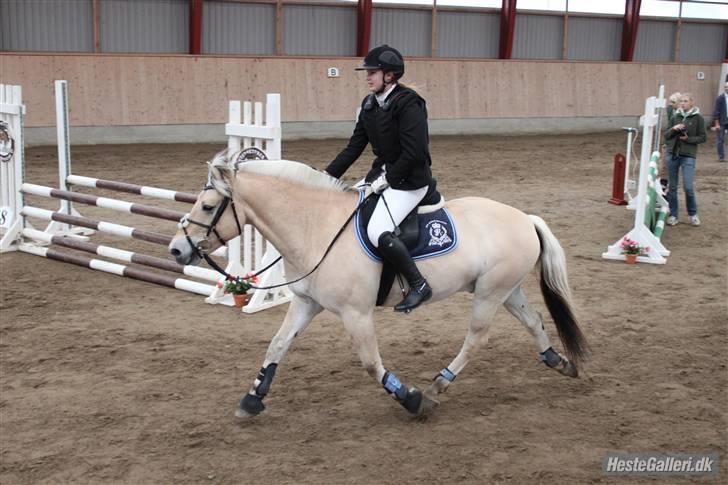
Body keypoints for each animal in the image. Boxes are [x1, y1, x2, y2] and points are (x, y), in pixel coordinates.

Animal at [171, 150, 592, 416]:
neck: (315, 227)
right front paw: (252, 399)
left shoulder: (355, 314)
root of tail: (525, 218)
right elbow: (277, 345)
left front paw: (413, 401)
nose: (177, 249)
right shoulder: (306, 303)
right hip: (504, 290)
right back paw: (559, 362)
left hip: (490, 294)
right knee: (534, 321)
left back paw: (439, 385)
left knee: (476, 338)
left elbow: (371, 364)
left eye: (208, 206)